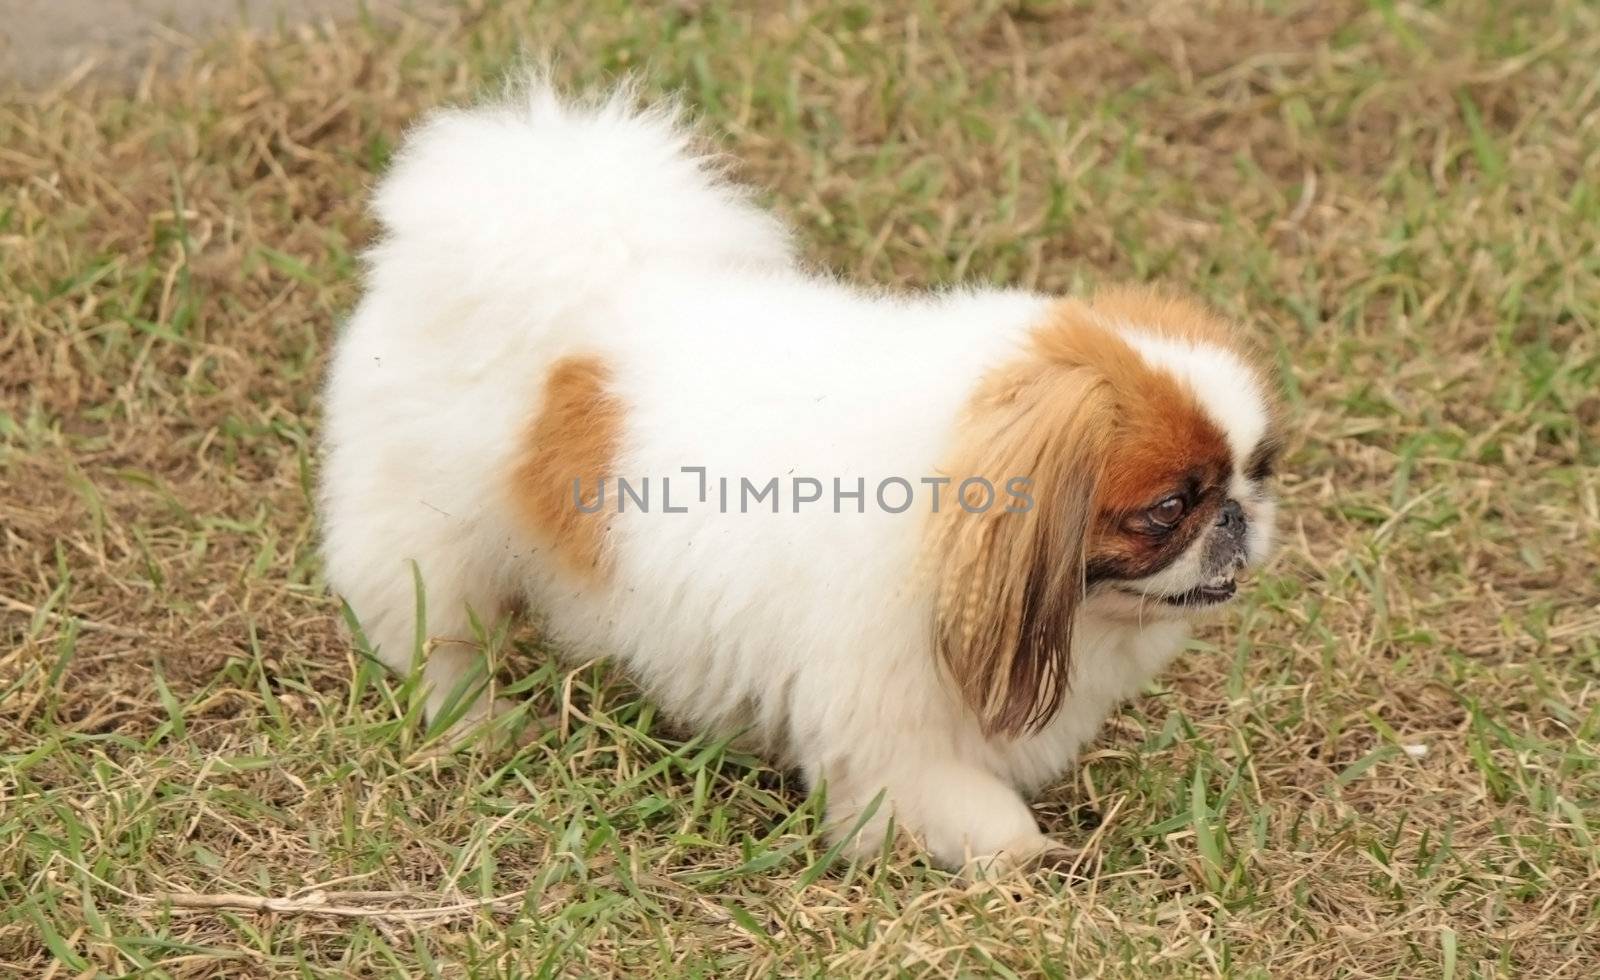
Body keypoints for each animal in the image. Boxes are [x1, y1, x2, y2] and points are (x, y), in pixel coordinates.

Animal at [318, 78, 1280, 871]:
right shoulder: (888, 716)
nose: (1238, 517)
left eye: (1257, 471)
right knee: (431, 626)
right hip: (427, 539)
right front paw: (1016, 855)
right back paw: (467, 715)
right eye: (1168, 508)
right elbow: (959, 806)